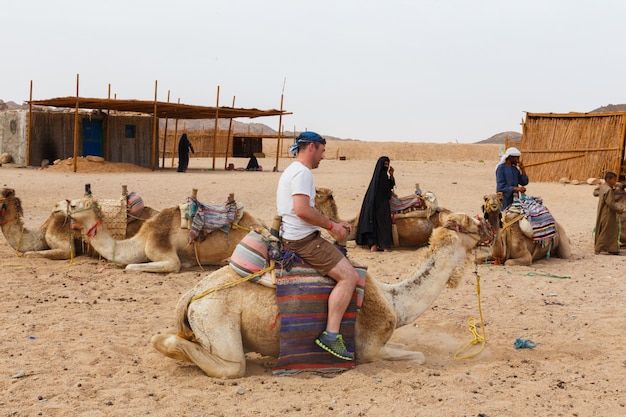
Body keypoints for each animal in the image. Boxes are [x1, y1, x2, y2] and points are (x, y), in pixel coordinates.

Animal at [62, 196, 266, 272]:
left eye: (73, 205)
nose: (59, 205)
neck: (142, 239)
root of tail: (260, 223)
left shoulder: (162, 250)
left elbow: (131, 266)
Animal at [150, 211, 492, 376]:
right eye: (472, 222)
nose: (490, 225)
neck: (395, 301)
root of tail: (194, 293)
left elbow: (412, 348)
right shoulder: (368, 349)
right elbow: (418, 357)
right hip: (217, 318)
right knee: (230, 365)